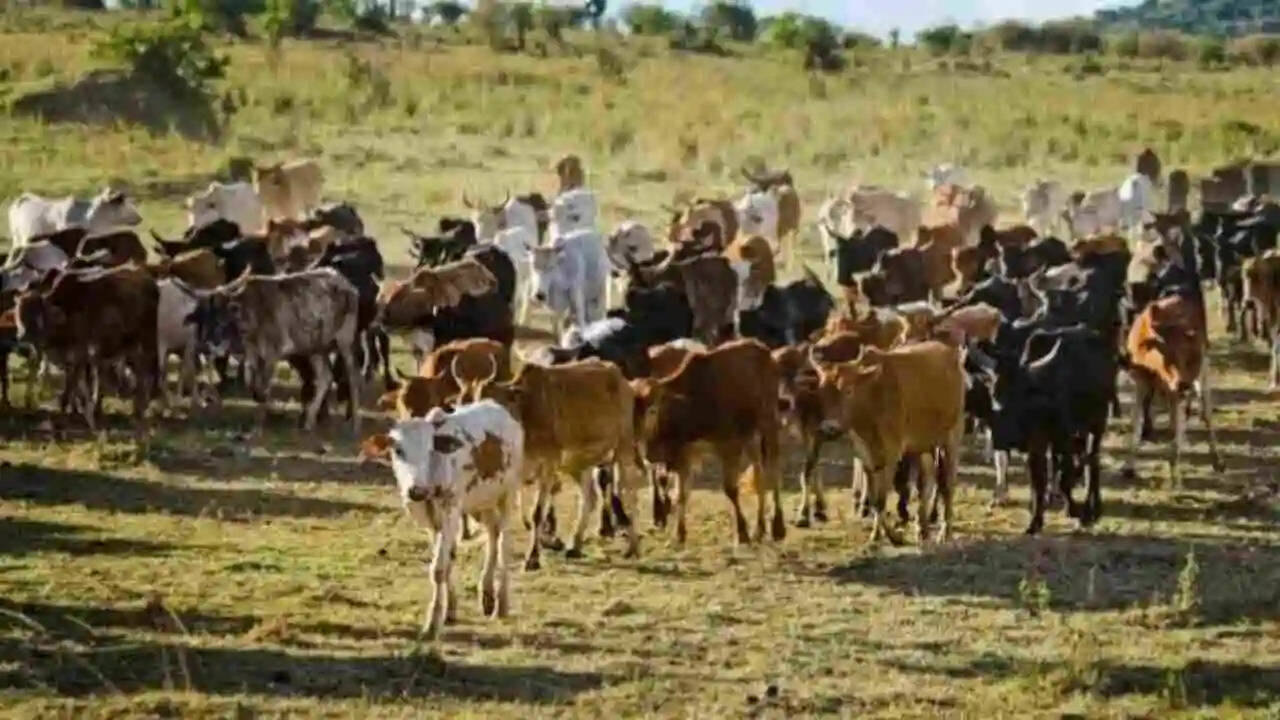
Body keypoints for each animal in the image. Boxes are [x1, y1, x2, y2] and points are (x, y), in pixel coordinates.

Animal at [186, 268, 361, 434]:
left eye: (220, 319)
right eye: (202, 318)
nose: (204, 345)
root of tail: (349, 286)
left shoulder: (273, 352)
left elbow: (263, 385)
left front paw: (258, 427)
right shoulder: (252, 353)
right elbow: (251, 383)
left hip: (345, 340)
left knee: (353, 377)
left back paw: (354, 424)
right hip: (316, 348)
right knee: (326, 377)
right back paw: (309, 422)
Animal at [360, 402, 523, 639]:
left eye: (430, 449)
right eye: (398, 450)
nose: (416, 491)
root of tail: (502, 411)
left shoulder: (450, 512)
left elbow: (438, 568)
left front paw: (432, 623)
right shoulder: (431, 521)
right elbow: (446, 563)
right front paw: (449, 611)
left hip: (506, 495)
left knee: (503, 543)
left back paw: (501, 604)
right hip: (480, 503)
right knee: (492, 535)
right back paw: (487, 595)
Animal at [633, 339, 786, 546]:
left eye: (653, 409)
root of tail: (762, 349)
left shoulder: (729, 446)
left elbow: (730, 489)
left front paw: (742, 533)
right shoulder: (684, 454)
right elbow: (681, 494)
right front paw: (679, 534)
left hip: (768, 424)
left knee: (774, 471)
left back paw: (778, 526)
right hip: (750, 437)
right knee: (759, 475)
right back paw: (760, 528)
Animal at [813, 341, 965, 545]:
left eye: (848, 390)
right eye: (821, 393)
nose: (829, 428)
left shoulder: (892, 453)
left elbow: (881, 499)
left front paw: (892, 536)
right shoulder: (866, 456)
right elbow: (874, 499)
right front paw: (878, 534)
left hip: (951, 437)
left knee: (948, 483)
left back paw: (944, 531)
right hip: (922, 445)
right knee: (927, 481)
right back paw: (922, 528)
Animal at [1123, 294, 1223, 487]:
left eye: (1188, 357)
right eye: (1167, 353)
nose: (1184, 383)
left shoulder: (1179, 386)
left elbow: (1180, 423)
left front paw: (1175, 474)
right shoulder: (1140, 382)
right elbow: (1136, 421)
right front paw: (1129, 467)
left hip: (1202, 374)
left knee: (1205, 413)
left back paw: (1216, 460)